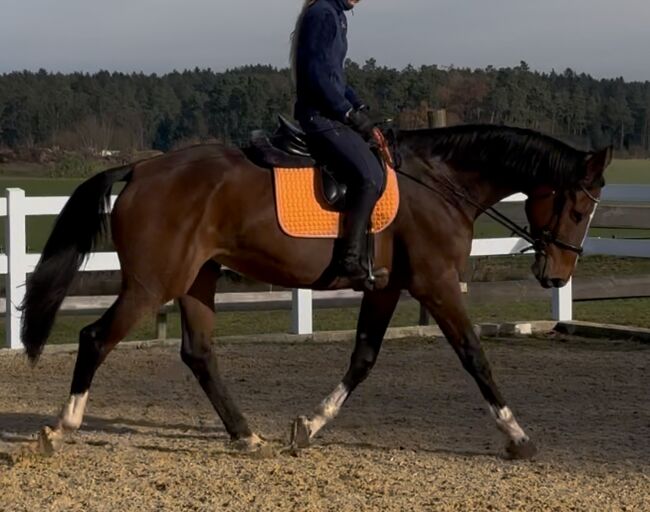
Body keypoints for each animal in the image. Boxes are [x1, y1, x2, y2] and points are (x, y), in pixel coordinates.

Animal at [20, 125, 608, 460]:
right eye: (579, 208)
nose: (557, 276)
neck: (438, 183)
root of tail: (139, 168)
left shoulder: (387, 288)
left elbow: (363, 358)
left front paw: (309, 426)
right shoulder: (436, 283)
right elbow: (474, 356)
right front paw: (518, 437)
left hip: (197, 279)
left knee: (199, 354)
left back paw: (247, 437)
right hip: (152, 284)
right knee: (96, 338)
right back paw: (61, 429)